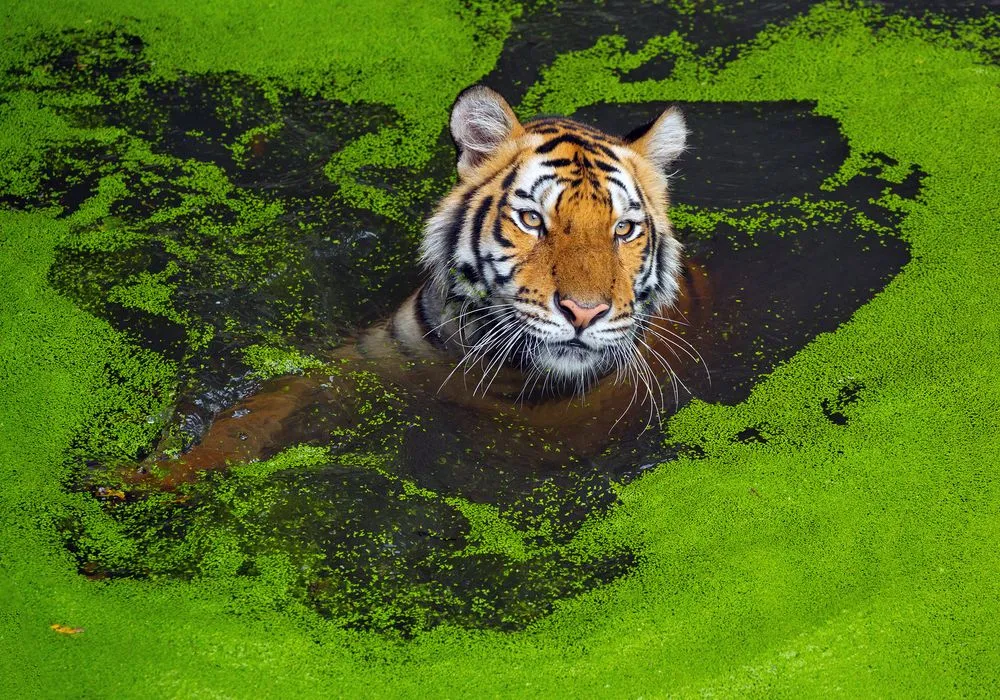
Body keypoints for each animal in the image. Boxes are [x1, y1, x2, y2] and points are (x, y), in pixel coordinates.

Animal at [132, 86, 698, 486]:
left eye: (623, 229)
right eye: (533, 220)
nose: (583, 312)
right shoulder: (358, 364)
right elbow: (258, 411)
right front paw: (146, 478)